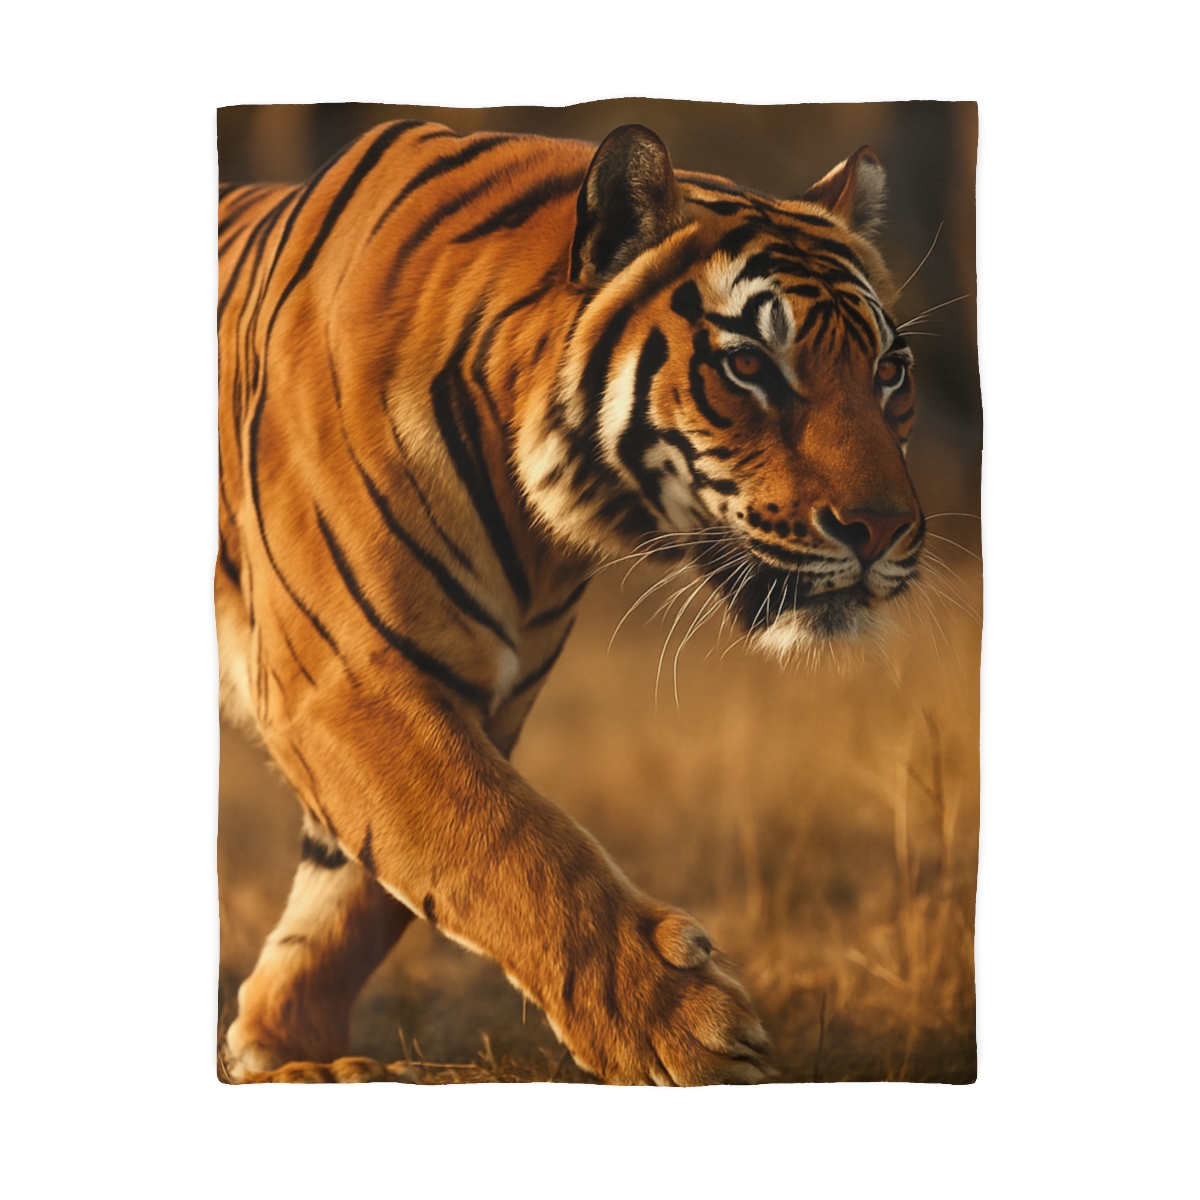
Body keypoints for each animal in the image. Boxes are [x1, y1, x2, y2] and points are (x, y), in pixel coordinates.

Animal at [216, 118, 923, 1086]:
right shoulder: (345, 679)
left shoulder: (473, 695)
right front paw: (684, 1028)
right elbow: (508, 844)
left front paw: (286, 1052)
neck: (541, 523)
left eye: (890, 370)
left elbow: (357, 893)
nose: (886, 529)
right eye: (747, 365)